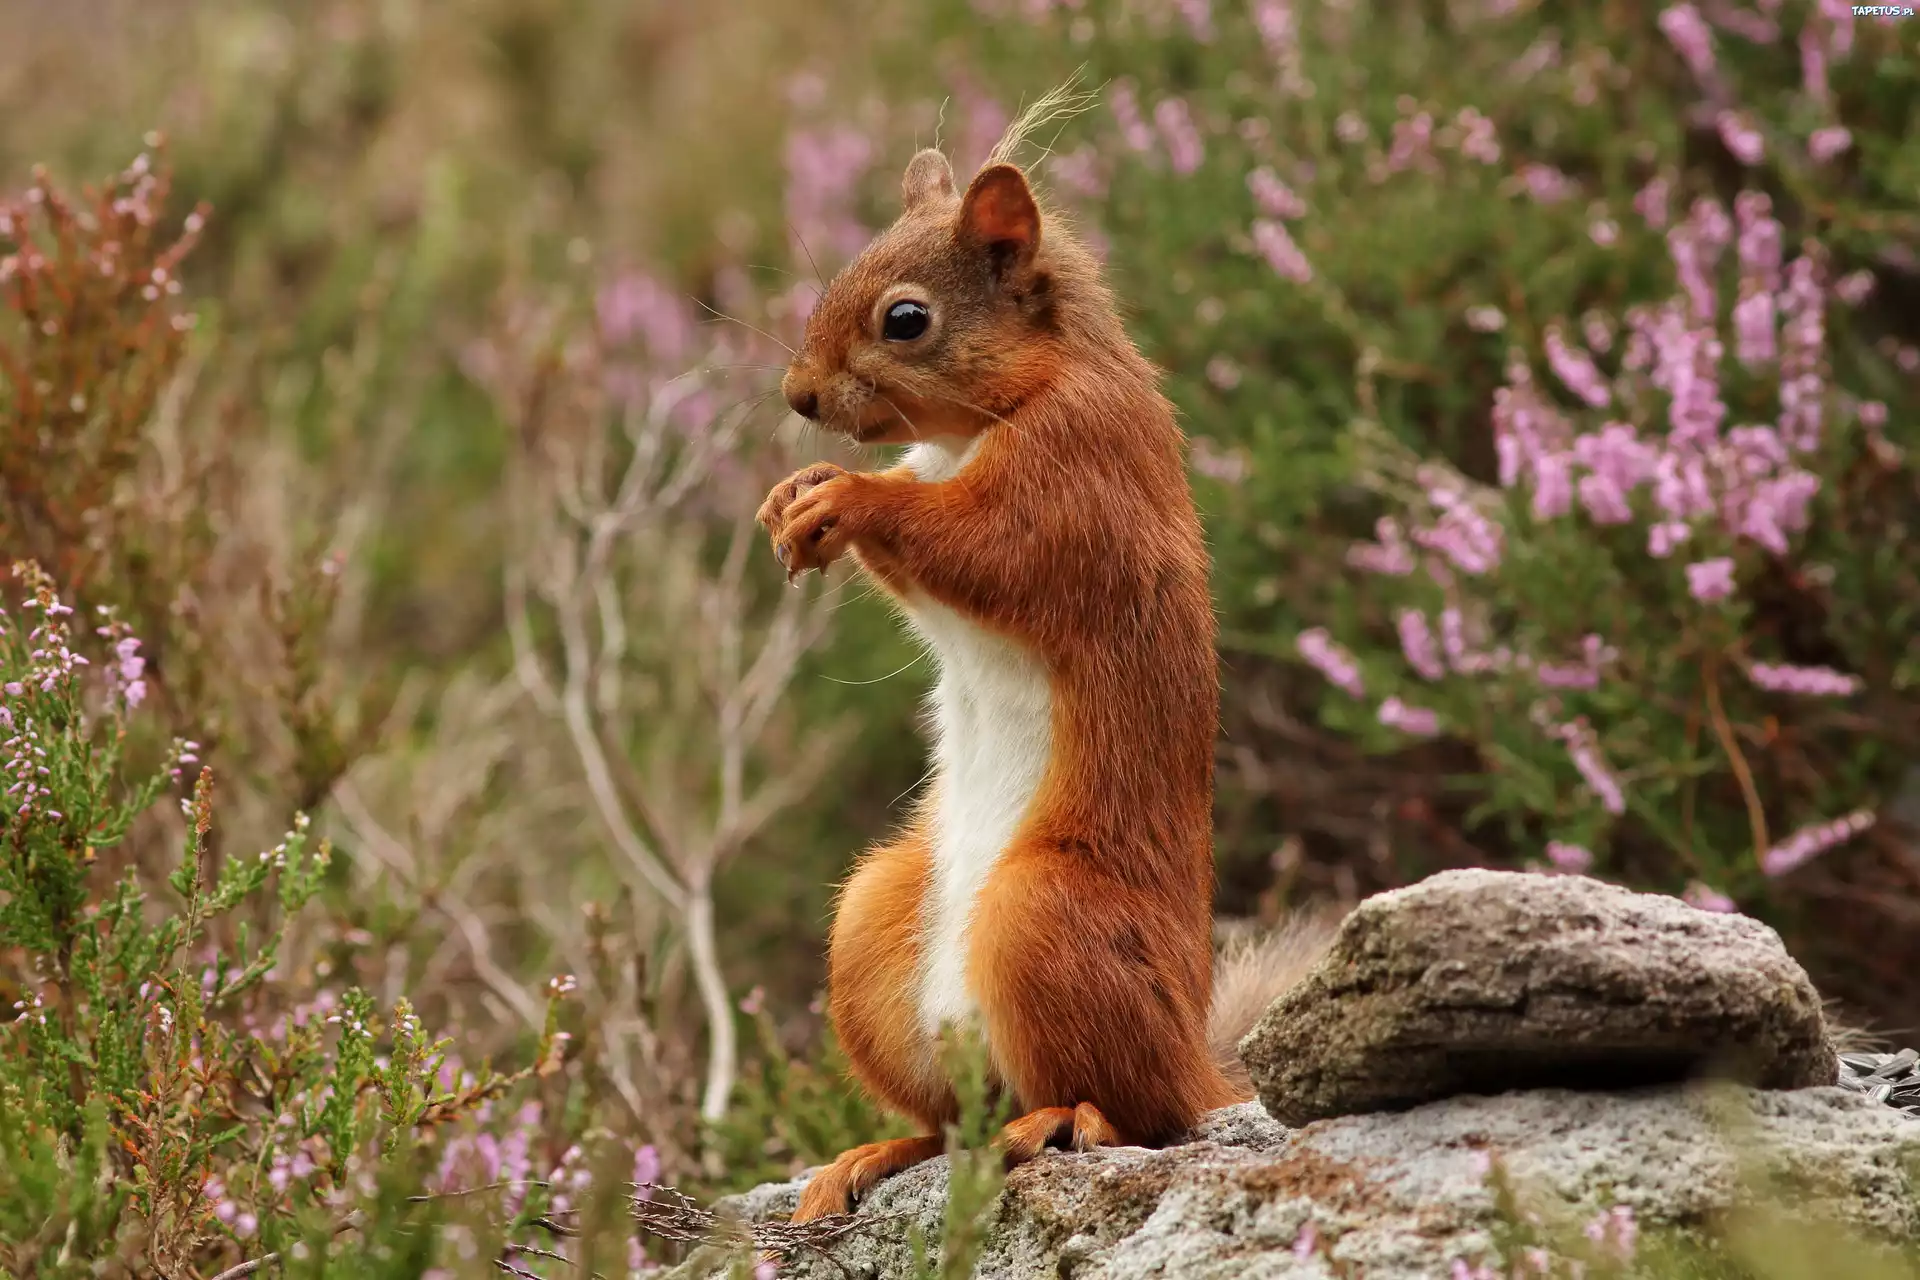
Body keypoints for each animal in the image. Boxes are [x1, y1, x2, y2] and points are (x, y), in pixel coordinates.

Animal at [756, 135, 1328, 1228]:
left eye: (905, 318)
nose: (799, 396)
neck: (985, 419)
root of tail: (1195, 1063)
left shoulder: (1075, 483)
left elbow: (981, 545)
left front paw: (849, 495)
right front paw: (793, 492)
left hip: (1042, 912)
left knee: (1136, 1111)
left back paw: (1065, 1121)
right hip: (871, 924)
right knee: (953, 1119)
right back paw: (878, 1151)